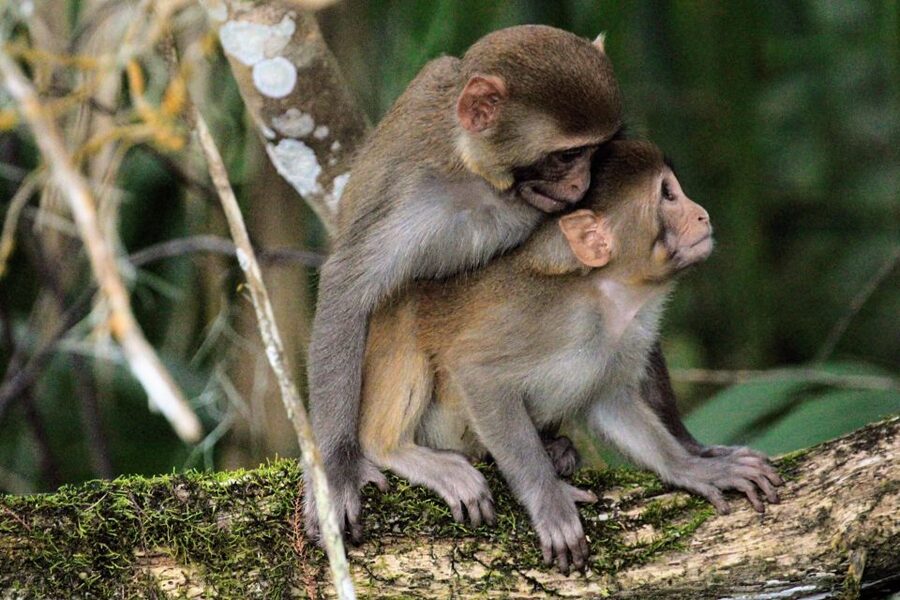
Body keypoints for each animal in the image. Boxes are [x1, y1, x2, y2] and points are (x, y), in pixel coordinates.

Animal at [305, 25, 624, 543]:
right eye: (567, 155)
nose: (581, 185)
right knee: (405, 296)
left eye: (594, 153)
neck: (478, 176)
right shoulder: (414, 195)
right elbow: (346, 287)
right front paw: (335, 473)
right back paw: (391, 448)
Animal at [358, 140, 783, 573]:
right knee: (405, 308)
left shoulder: (622, 339)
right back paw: (393, 450)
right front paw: (550, 502)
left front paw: (695, 467)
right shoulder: (544, 317)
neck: (609, 298)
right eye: (668, 195)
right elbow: (475, 372)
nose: (701, 213)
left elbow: (609, 402)